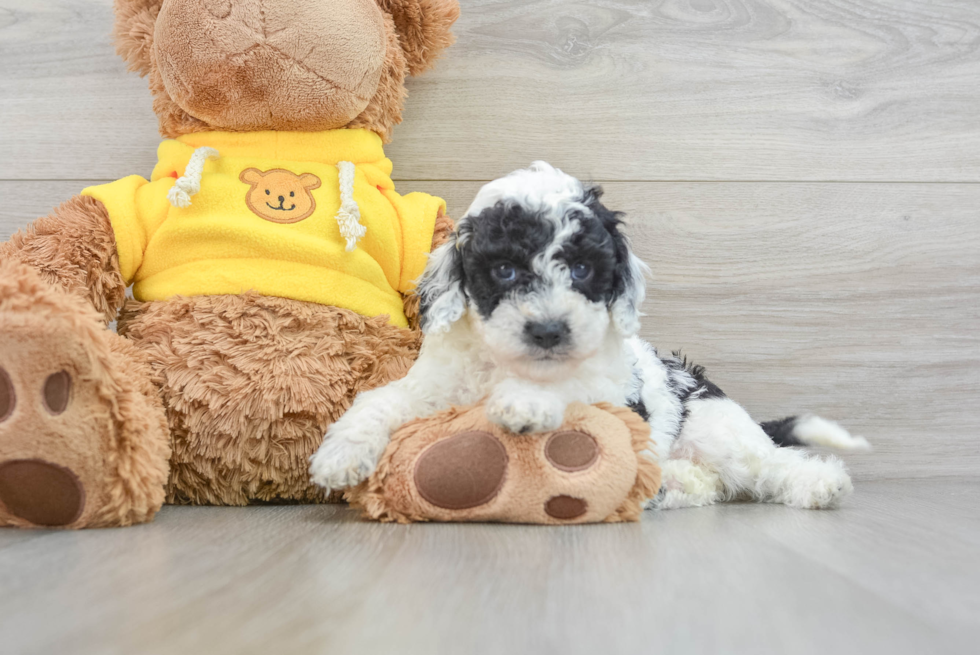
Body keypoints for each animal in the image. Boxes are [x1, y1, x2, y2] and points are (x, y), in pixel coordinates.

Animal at [310, 161, 868, 510]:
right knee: (707, 482)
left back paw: (822, 484)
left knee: (769, 463)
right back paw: (667, 487)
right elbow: (381, 400)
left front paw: (527, 403)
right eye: (505, 270)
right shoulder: (434, 388)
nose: (549, 330)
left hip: (718, 432)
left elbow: (569, 386)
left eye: (581, 269)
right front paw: (340, 456)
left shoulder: (611, 391)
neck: (511, 366)